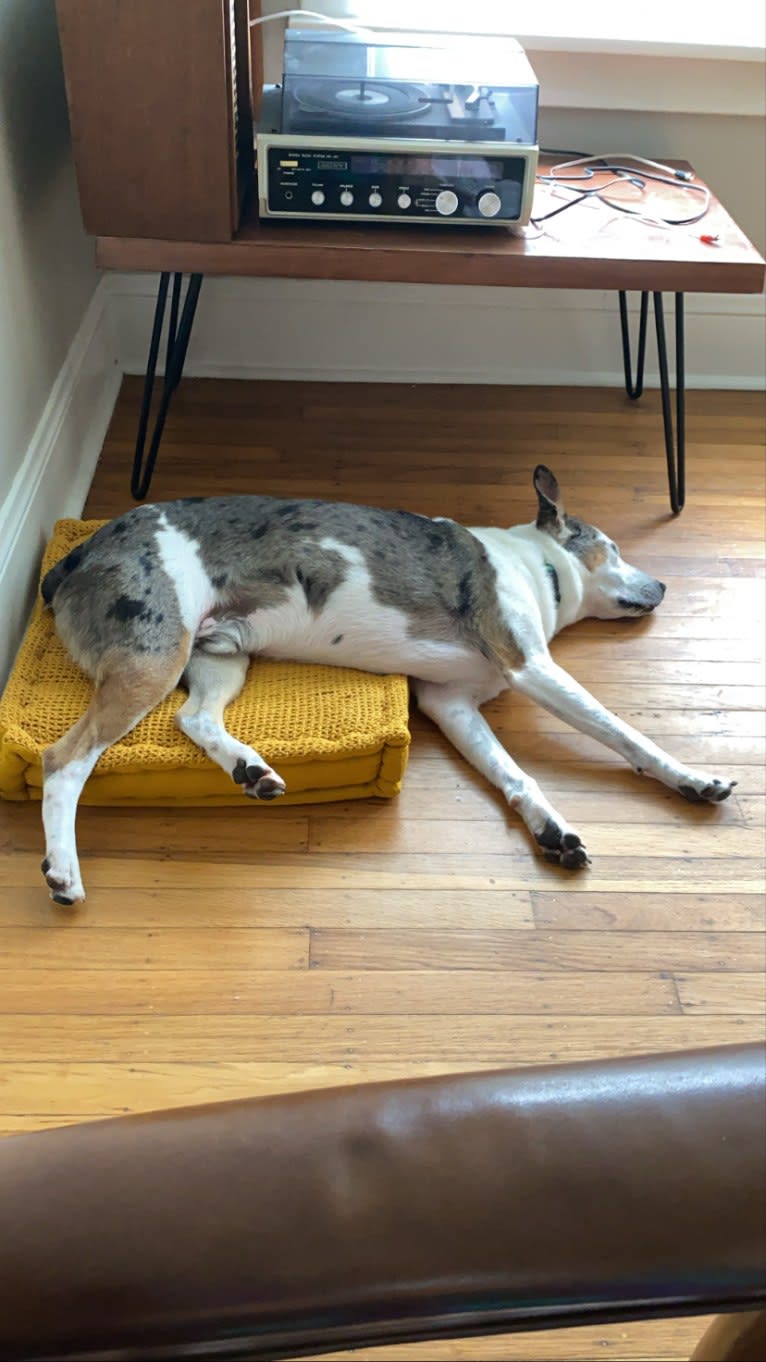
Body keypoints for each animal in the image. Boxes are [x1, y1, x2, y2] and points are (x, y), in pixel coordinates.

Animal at [38, 468, 730, 904]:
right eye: (611, 549)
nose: (663, 586)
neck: (534, 566)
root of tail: (78, 553)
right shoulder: (531, 667)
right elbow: (625, 735)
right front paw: (691, 778)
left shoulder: (451, 704)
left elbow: (515, 775)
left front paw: (551, 830)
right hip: (152, 661)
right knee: (64, 760)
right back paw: (64, 872)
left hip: (220, 653)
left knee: (195, 718)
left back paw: (251, 771)